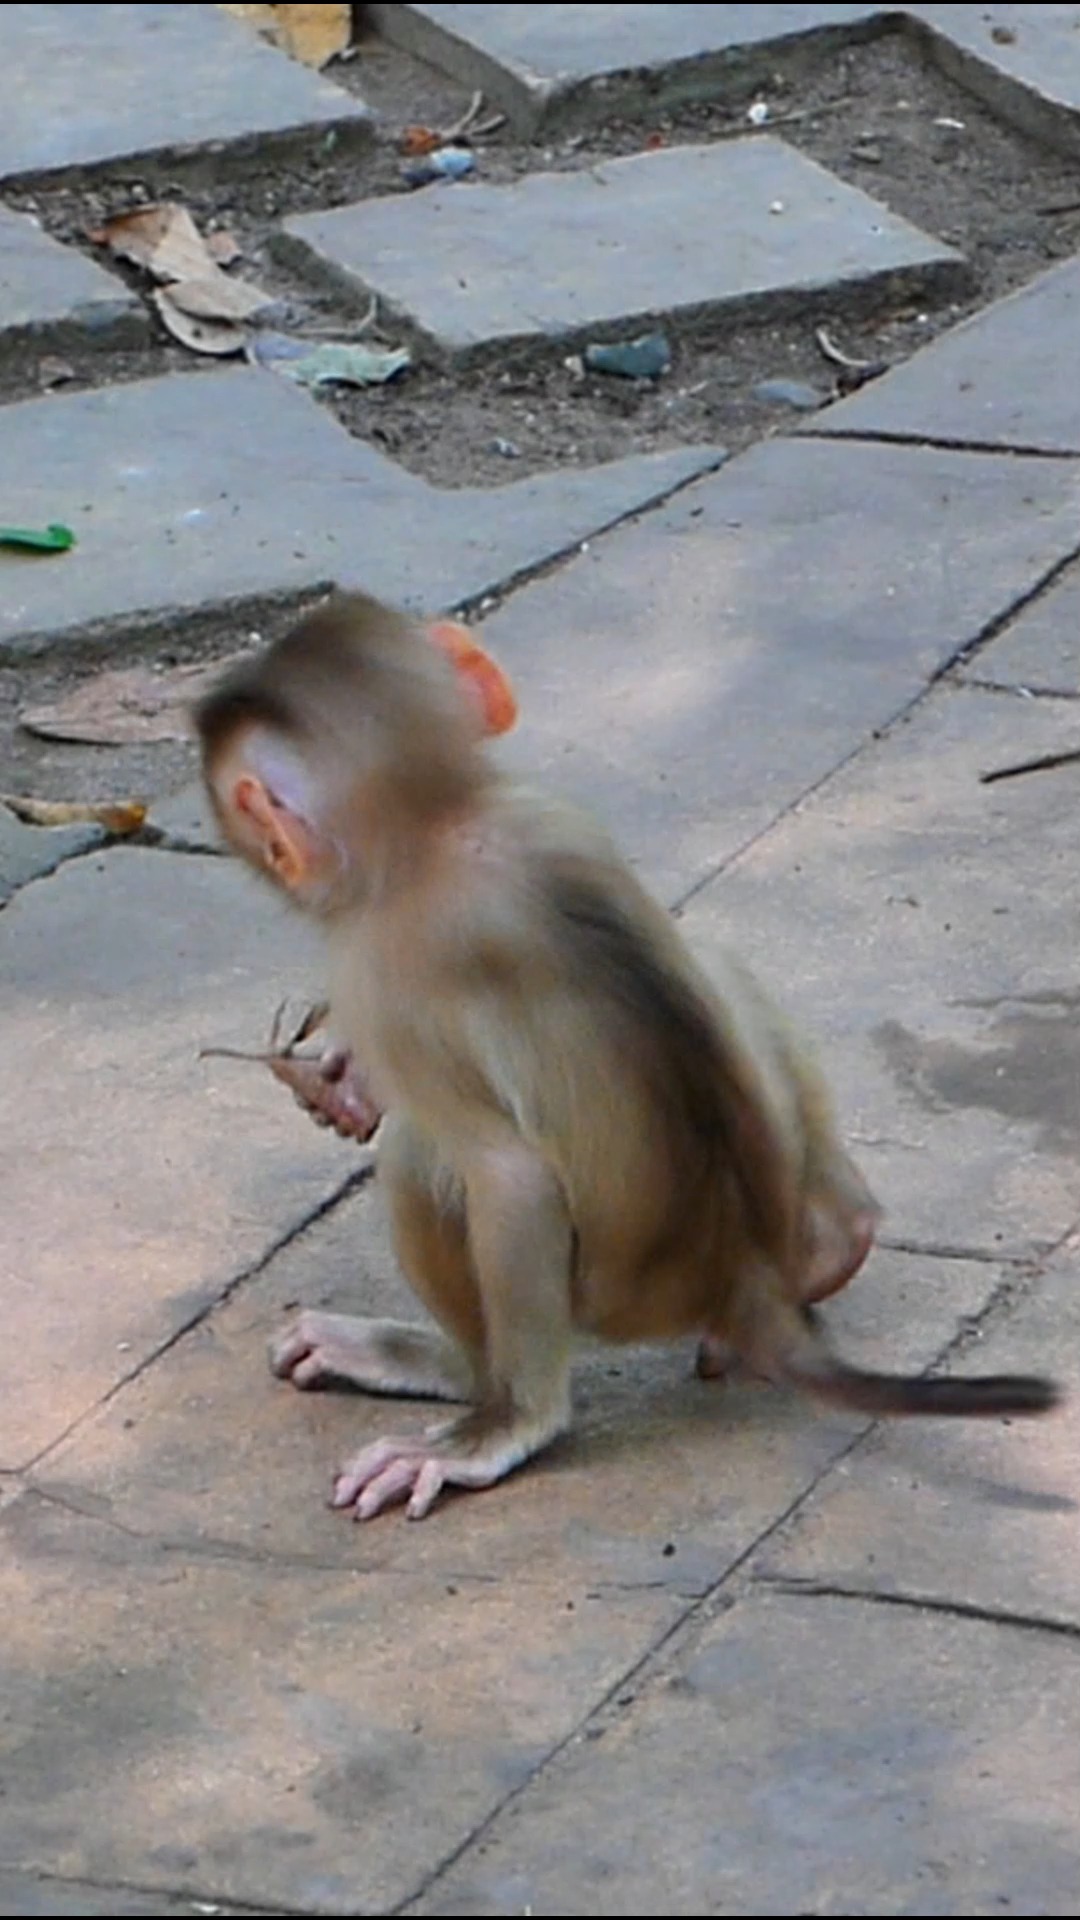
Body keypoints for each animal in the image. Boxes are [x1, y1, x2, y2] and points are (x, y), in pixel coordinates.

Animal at [196, 591, 1060, 1521]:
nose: (272, 862)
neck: (444, 817)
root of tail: (742, 1272)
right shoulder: (563, 818)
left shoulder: (382, 965)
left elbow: (507, 1177)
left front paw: (505, 1428)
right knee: (713, 956)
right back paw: (837, 1238)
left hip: (612, 1292)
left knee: (429, 1157)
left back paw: (458, 1373)